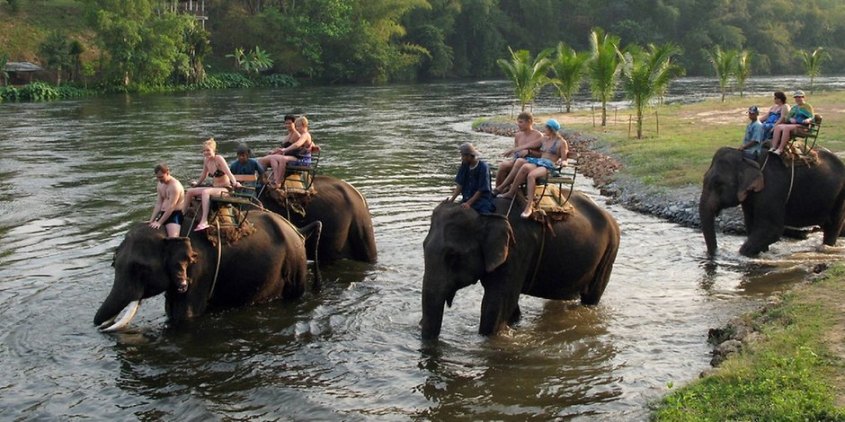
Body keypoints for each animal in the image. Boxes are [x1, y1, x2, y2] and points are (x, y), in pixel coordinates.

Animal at [94, 210, 316, 331]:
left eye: (140, 268)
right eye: (114, 263)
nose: (99, 325)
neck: (169, 232)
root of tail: (297, 229)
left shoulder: (199, 272)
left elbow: (186, 316)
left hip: (296, 262)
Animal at [421, 193, 621, 340]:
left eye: (453, 256)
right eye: (423, 246)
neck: (485, 214)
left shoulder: (517, 250)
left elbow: (496, 304)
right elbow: (509, 305)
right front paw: (514, 323)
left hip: (610, 251)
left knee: (592, 296)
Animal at [700, 147, 845, 257]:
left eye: (718, 184)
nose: (715, 254)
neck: (749, 158)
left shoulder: (772, 189)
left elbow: (771, 229)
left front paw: (743, 255)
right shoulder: (750, 197)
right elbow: (752, 225)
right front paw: (762, 252)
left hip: (840, 195)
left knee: (832, 225)